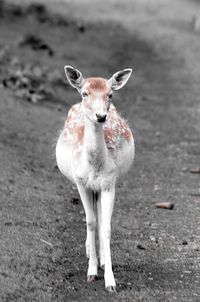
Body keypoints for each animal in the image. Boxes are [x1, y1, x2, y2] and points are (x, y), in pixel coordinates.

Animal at [55, 66, 135, 292]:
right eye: (85, 93)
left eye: (110, 94)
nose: (101, 116)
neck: (95, 165)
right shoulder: (81, 182)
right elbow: (90, 221)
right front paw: (91, 272)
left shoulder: (109, 183)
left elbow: (106, 227)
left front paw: (110, 281)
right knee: (92, 217)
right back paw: (91, 252)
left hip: (100, 187)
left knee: (99, 214)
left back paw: (101, 260)